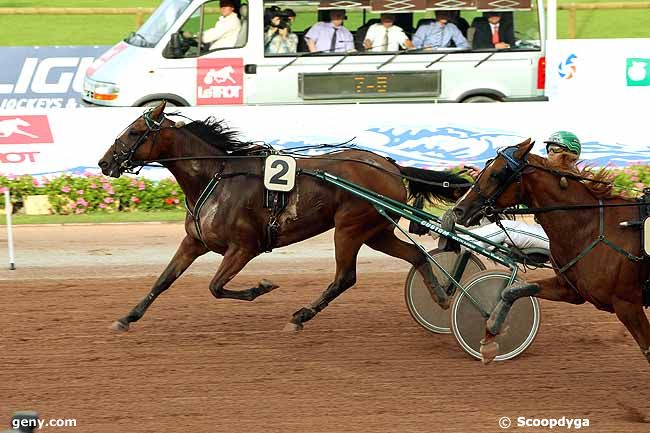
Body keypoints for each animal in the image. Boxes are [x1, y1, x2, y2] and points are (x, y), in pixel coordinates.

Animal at [98, 103, 468, 332]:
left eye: (134, 132)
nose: (104, 163)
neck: (215, 178)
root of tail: (391, 166)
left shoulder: (244, 247)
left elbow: (216, 287)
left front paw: (262, 287)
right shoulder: (194, 241)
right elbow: (163, 281)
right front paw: (127, 318)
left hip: (349, 228)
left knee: (345, 277)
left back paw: (301, 315)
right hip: (376, 231)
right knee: (416, 255)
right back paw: (440, 296)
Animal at [450, 139, 648, 364]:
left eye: (496, 173)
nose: (458, 210)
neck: (590, 226)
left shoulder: (628, 304)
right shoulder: (569, 290)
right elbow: (512, 290)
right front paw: (490, 334)